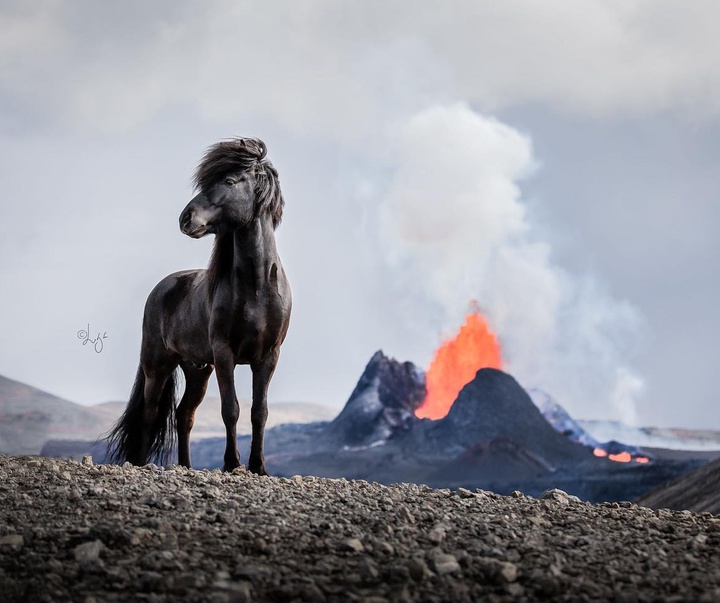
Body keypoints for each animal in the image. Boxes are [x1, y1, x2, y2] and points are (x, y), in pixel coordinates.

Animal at [107, 139, 290, 474]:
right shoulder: (224, 353)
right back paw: (140, 463)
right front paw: (231, 464)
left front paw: (258, 467)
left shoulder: (268, 356)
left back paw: (186, 466)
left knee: (184, 416)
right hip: (158, 364)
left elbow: (260, 412)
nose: (185, 219)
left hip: (197, 370)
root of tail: (162, 287)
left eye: (229, 181)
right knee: (151, 412)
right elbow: (230, 409)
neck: (257, 287)